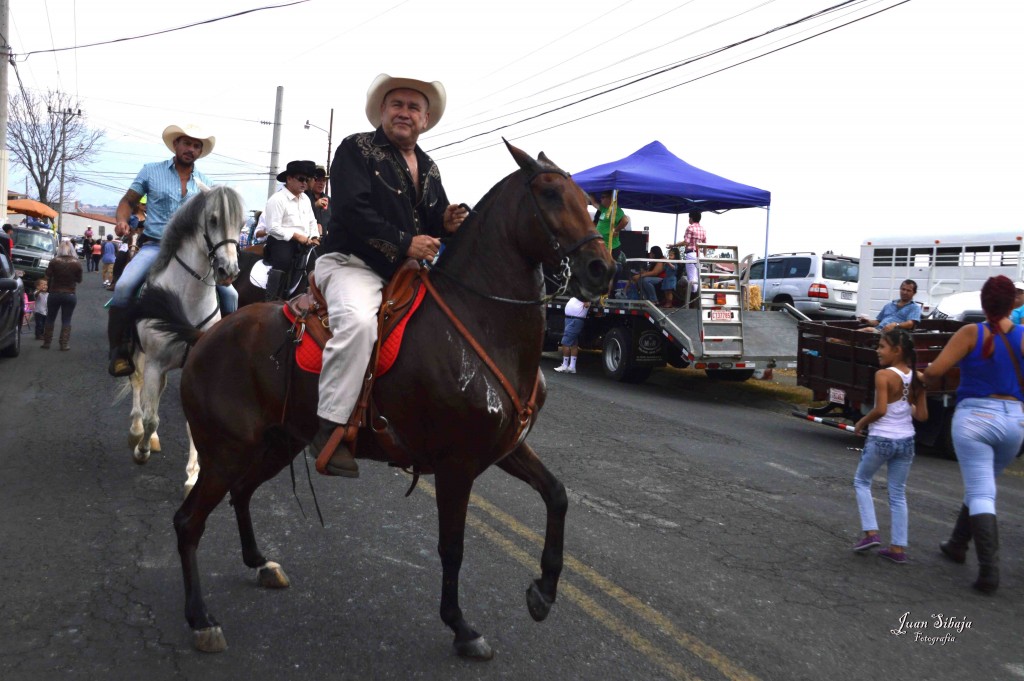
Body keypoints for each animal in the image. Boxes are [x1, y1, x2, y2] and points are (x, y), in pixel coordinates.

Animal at [118, 186, 244, 493]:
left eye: (242, 224)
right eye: (213, 220)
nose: (229, 271)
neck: (187, 300)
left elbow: (191, 424)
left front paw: (192, 476)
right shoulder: (154, 362)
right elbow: (152, 417)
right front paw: (141, 451)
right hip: (139, 355)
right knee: (137, 385)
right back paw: (137, 434)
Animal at [158, 143, 610, 659]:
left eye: (589, 203)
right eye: (550, 194)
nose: (602, 269)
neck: (481, 321)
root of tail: (206, 336)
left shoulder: (504, 447)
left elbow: (557, 495)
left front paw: (544, 591)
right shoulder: (457, 465)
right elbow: (452, 547)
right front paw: (461, 626)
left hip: (277, 443)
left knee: (242, 493)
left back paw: (260, 563)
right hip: (225, 452)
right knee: (189, 522)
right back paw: (200, 618)